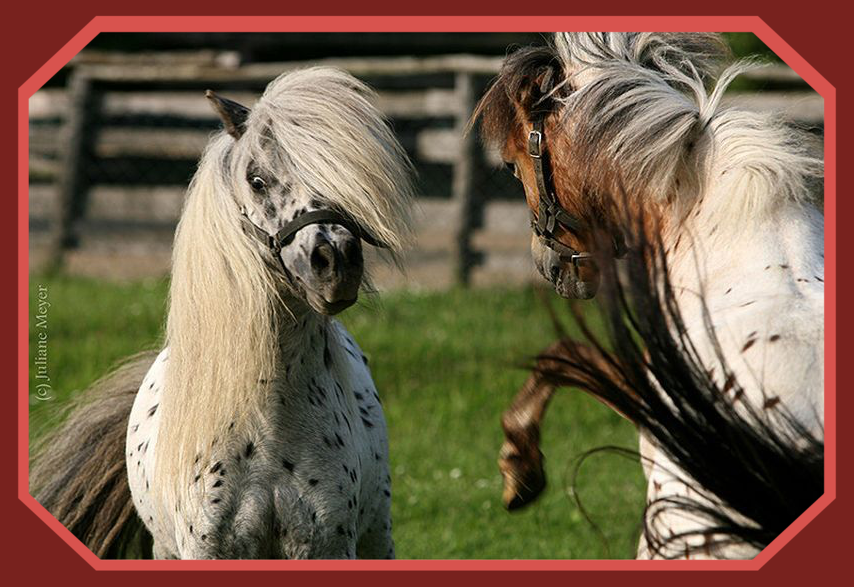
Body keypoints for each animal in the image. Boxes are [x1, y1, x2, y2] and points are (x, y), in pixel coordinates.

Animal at [30, 67, 415, 560]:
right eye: (257, 179)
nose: (336, 263)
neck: (271, 430)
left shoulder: (326, 545)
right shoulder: (208, 548)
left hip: (376, 535)